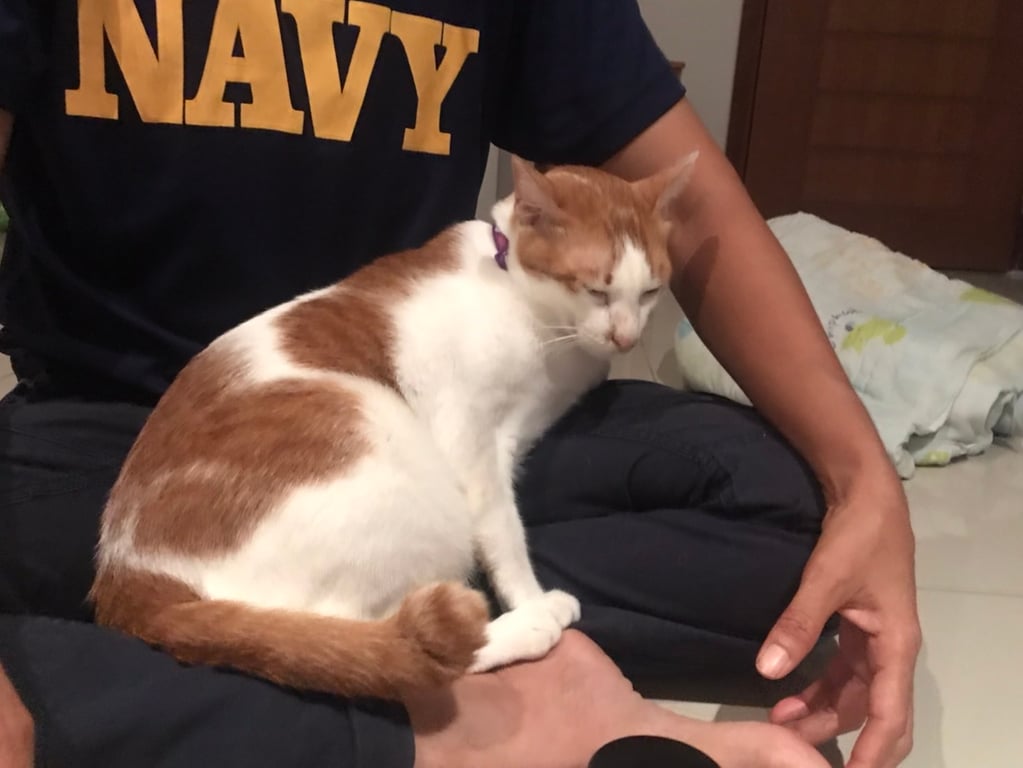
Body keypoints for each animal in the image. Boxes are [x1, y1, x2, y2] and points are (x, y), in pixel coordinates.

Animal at [90, 152, 698, 701]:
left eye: (651, 292)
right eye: (596, 289)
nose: (626, 338)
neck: (527, 306)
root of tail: (129, 577)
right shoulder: (469, 441)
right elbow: (503, 532)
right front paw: (528, 597)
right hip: (412, 490)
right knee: (380, 646)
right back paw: (527, 625)